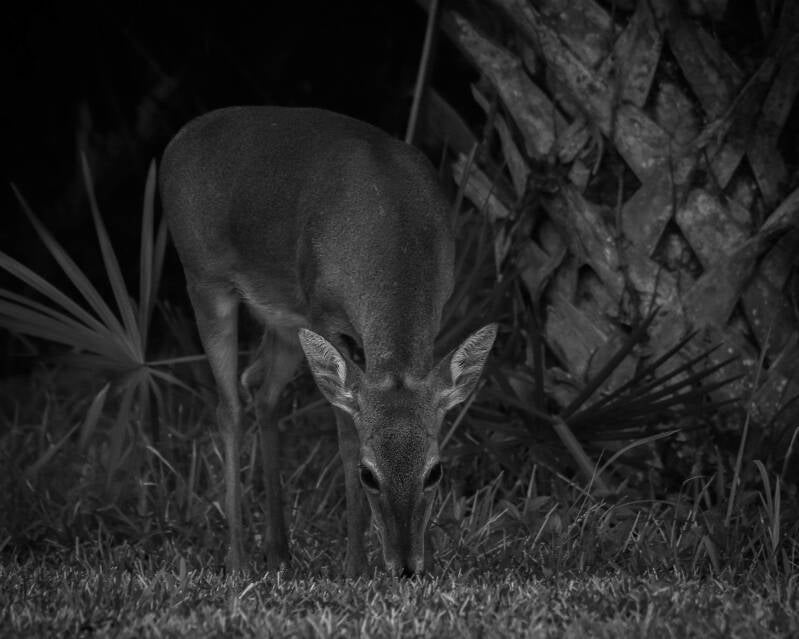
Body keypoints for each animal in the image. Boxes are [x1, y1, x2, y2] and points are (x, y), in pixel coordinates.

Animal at [159, 106, 496, 577]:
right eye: (367, 474)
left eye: (435, 472)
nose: (406, 566)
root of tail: (180, 137)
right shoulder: (323, 312)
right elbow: (345, 437)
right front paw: (355, 566)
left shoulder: (437, 306)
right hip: (203, 279)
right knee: (230, 408)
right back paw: (238, 562)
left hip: (284, 319)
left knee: (262, 391)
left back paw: (279, 551)